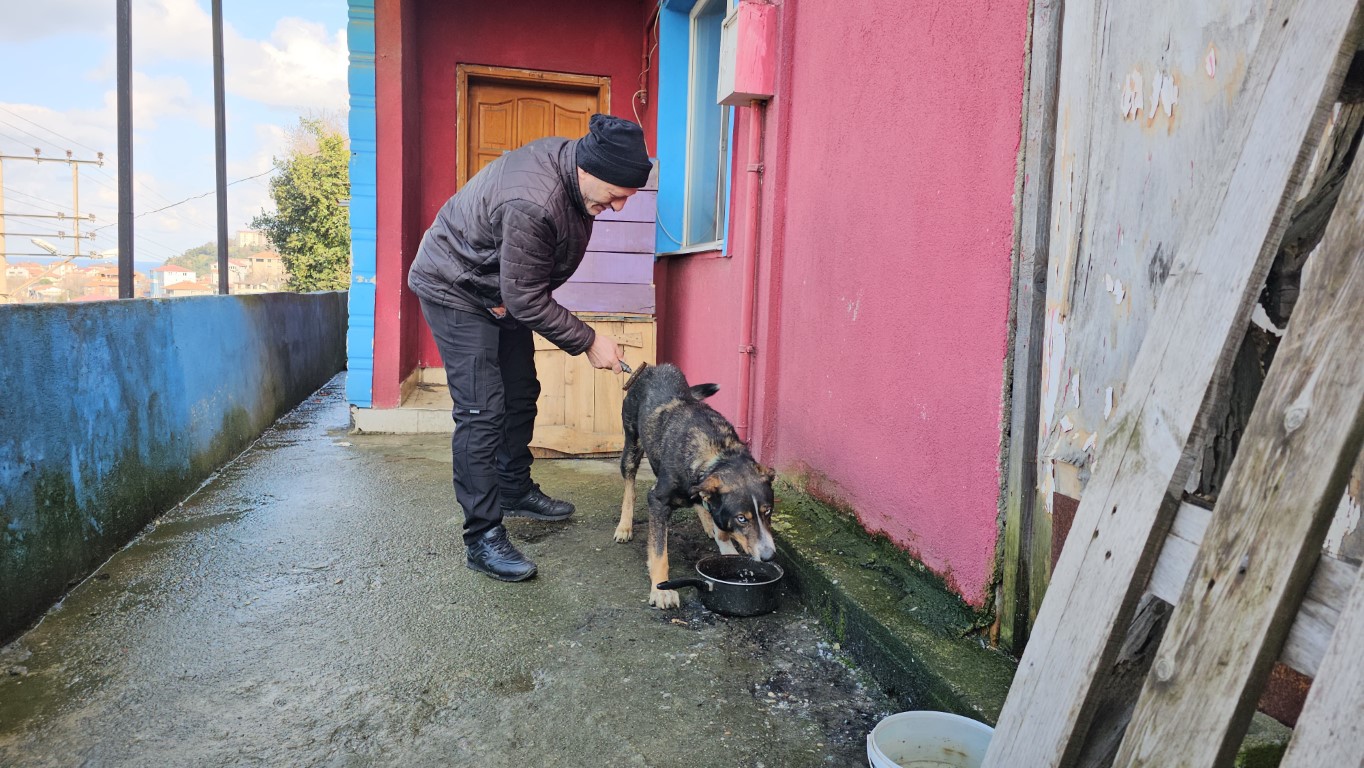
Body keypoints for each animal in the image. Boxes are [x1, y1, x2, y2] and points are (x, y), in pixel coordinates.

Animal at [613, 362, 774, 611]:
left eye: (768, 512)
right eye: (741, 518)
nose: (768, 557)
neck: (717, 454)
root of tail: (652, 368)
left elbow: (721, 527)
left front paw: (726, 547)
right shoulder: (657, 501)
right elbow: (659, 552)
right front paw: (661, 589)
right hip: (631, 446)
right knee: (629, 487)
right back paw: (624, 526)